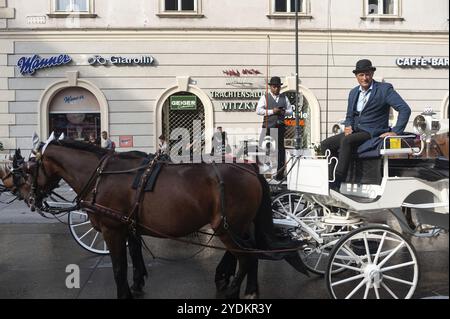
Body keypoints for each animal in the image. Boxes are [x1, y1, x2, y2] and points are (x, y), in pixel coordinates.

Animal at [4, 140, 306, 300]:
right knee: (251, 254)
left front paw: (124, 292)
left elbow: (118, 266)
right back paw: (248, 288)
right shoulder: (128, 225)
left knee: (245, 256)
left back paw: (231, 288)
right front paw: (137, 283)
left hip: (228, 226)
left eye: (28, 168)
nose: (26, 197)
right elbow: (136, 255)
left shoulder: (113, 229)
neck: (102, 176)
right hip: (240, 226)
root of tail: (250, 169)